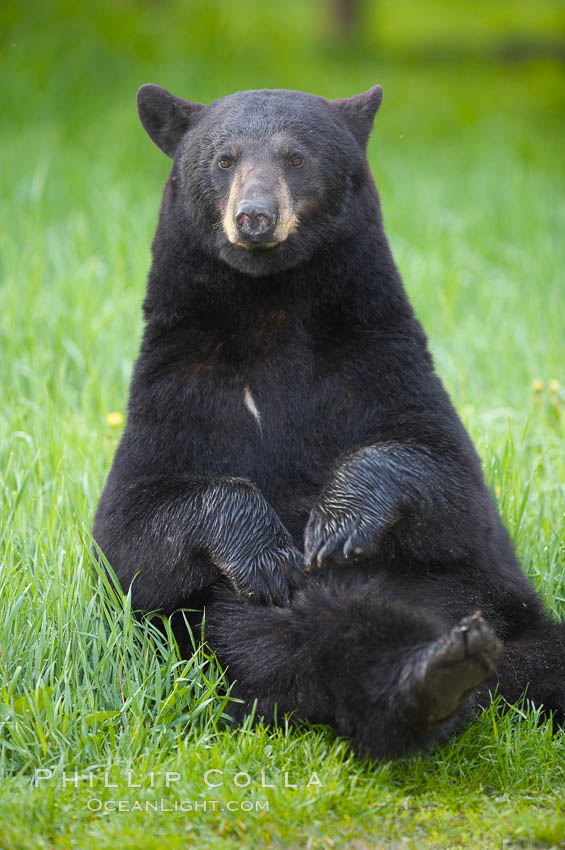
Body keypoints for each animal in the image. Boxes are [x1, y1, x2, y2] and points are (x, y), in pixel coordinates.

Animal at [93, 83, 564, 760]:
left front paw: (336, 525)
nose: (255, 217)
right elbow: (132, 528)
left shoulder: (377, 354)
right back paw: (436, 676)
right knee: (321, 644)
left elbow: (450, 481)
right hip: (242, 639)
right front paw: (268, 554)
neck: (273, 312)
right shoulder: (181, 380)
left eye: (295, 158)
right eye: (225, 160)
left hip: (513, 619)